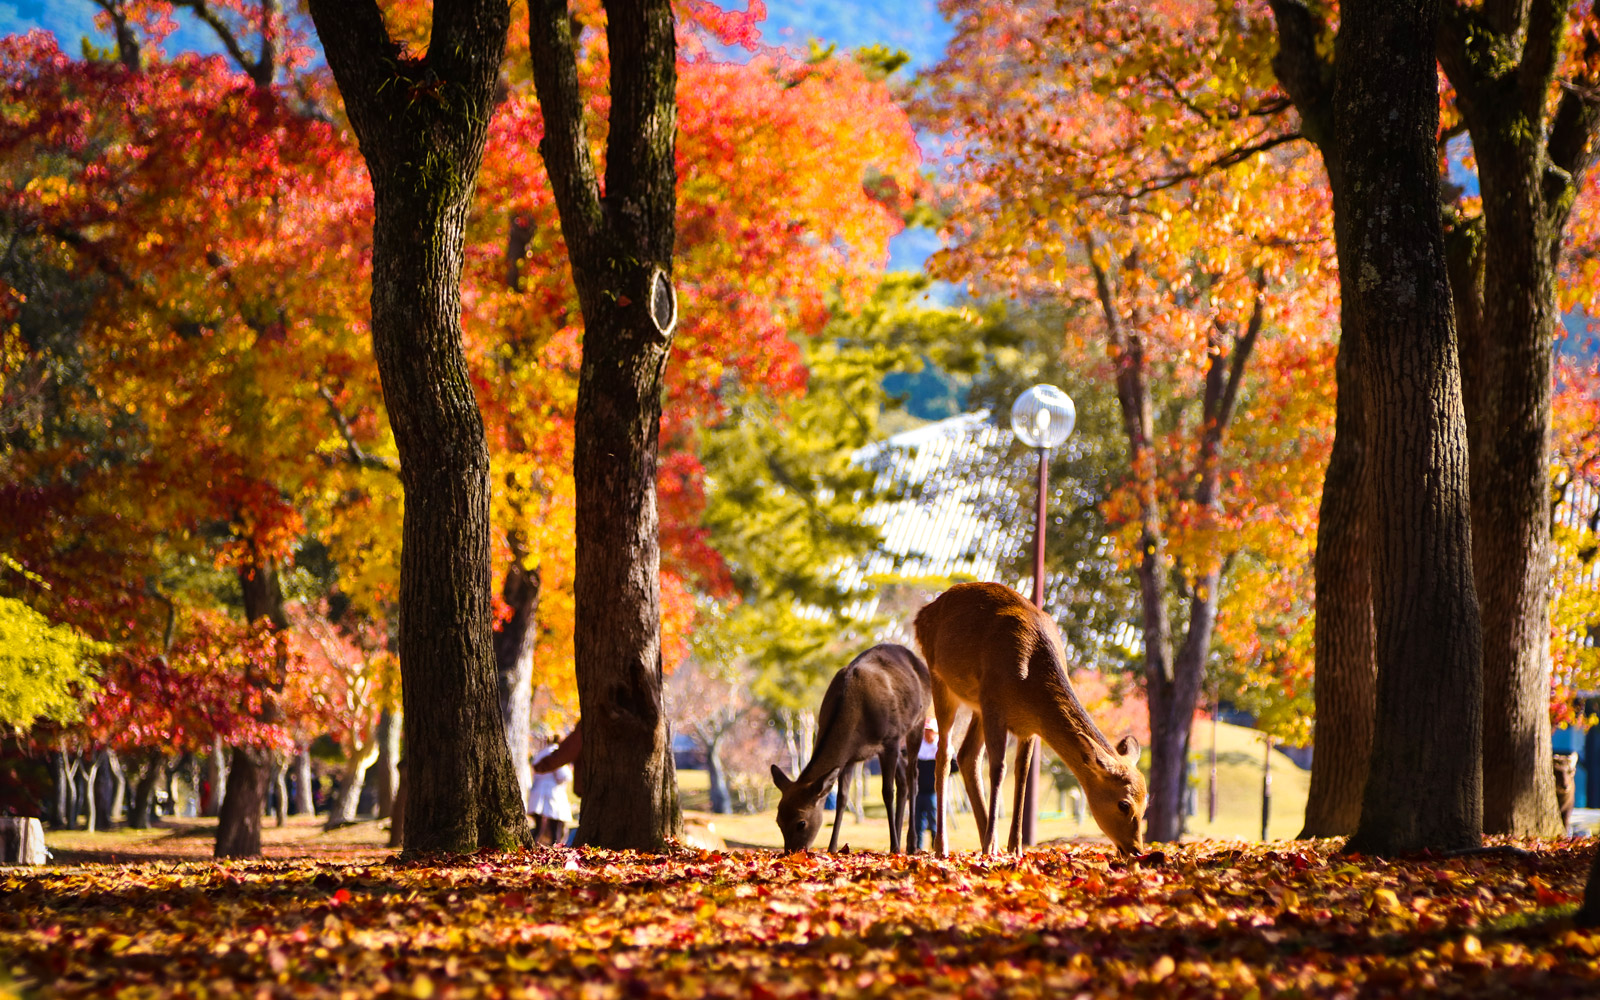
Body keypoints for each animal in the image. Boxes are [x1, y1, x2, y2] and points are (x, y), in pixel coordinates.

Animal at [769, 643, 930, 853]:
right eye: (778, 820)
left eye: (801, 823)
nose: (792, 852)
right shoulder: (850, 757)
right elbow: (841, 798)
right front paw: (832, 848)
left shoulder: (890, 739)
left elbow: (887, 792)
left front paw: (895, 847)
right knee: (903, 777)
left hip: (918, 722)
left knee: (912, 775)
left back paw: (910, 845)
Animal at [913, 581, 1147, 857]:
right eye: (1124, 804)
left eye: (1145, 805)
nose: (1137, 849)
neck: (1028, 683)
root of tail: (922, 614)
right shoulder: (994, 706)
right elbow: (999, 769)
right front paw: (995, 845)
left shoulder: (1030, 726)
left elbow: (1022, 773)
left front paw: (1015, 847)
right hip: (941, 680)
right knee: (944, 755)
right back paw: (944, 846)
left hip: (977, 704)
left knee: (967, 755)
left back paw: (988, 840)